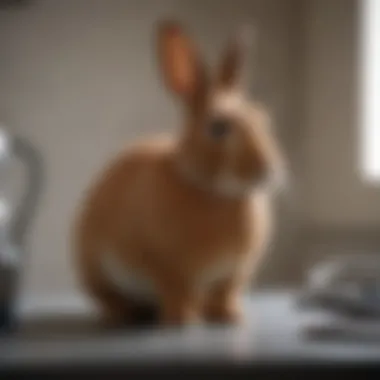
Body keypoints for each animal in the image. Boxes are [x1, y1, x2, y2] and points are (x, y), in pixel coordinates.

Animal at [71, 20, 286, 326]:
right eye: (218, 127)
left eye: (263, 118)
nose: (269, 169)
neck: (216, 191)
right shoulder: (166, 269)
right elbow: (177, 291)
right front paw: (182, 320)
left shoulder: (234, 273)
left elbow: (225, 293)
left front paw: (230, 317)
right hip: (95, 271)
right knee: (109, 299)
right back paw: (126, 314)